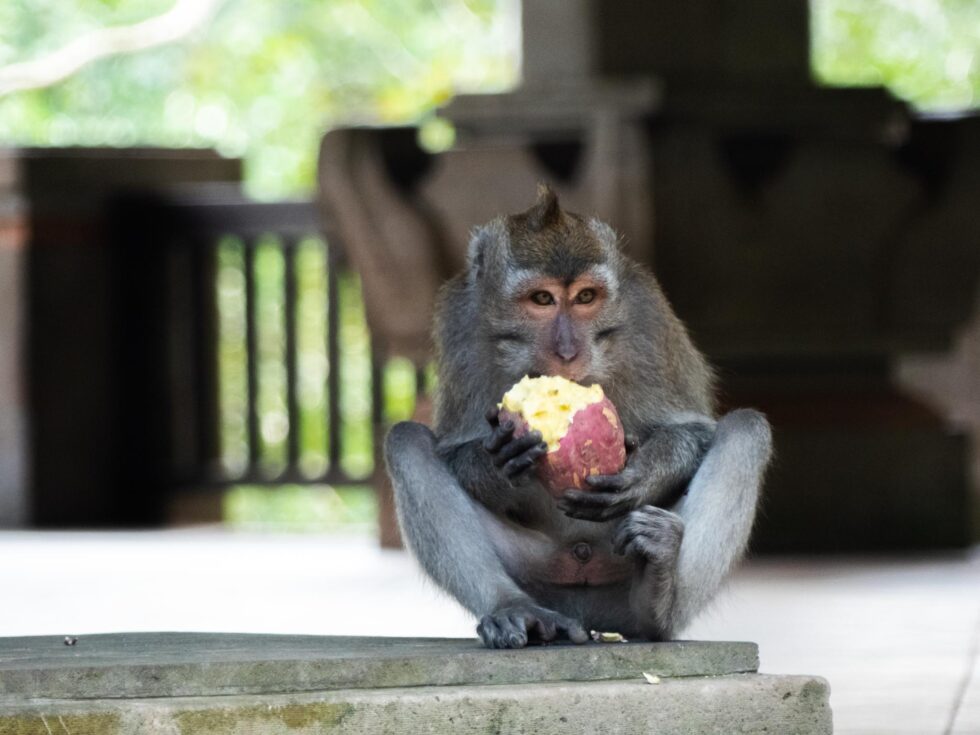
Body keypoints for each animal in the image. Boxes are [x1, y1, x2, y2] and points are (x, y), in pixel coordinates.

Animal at [384, 185, 772, 648]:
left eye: (586, 297)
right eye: (542, 299)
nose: (568, 351)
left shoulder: (647, 314)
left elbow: (692, 428)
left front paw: (642, 475)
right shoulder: (460, 321)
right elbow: (451, 448)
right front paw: (499, 461)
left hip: (617, 585)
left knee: (746, 431)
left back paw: (658, 596)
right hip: (540, 573)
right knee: (406, 442)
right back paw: (514, 610)